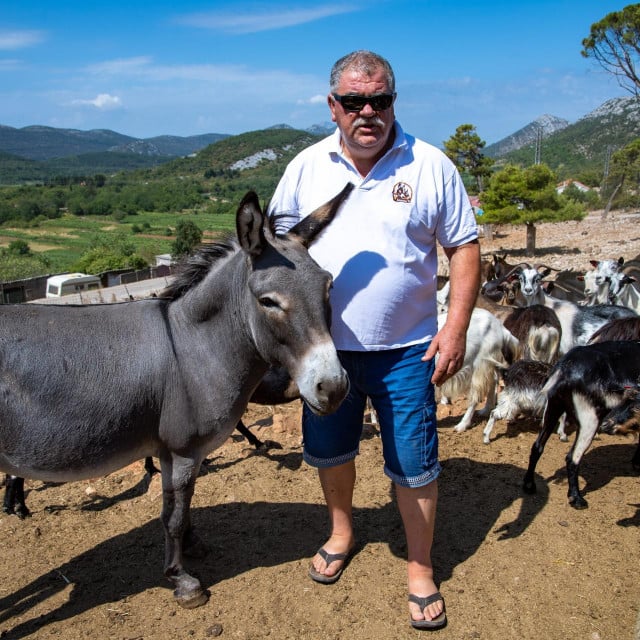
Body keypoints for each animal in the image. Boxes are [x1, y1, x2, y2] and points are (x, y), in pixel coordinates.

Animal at [524, 340, 640, 510]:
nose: (608, 426)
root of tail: (565, 368)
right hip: (589, 419)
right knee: (572, 457)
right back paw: (576, 499)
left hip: (554, 407)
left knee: (537, 446)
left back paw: (529, 485)